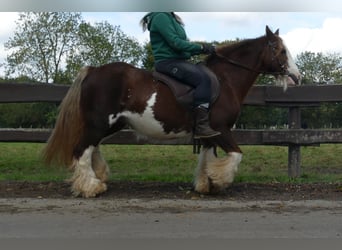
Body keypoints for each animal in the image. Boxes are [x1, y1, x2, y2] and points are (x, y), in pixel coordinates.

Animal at [42, 25, 300, 197]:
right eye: (280, 50)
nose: (297, 77)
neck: (225, 79)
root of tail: (94, 70)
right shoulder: (222, 129)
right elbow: (236, 156)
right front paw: (219, 182)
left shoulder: (210, 133)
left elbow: (207, 157)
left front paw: (205, 184)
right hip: (100, 123)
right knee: (81, 151)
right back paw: (90, 187)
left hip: (108, 124)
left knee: (92, 148)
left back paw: (99, 178)